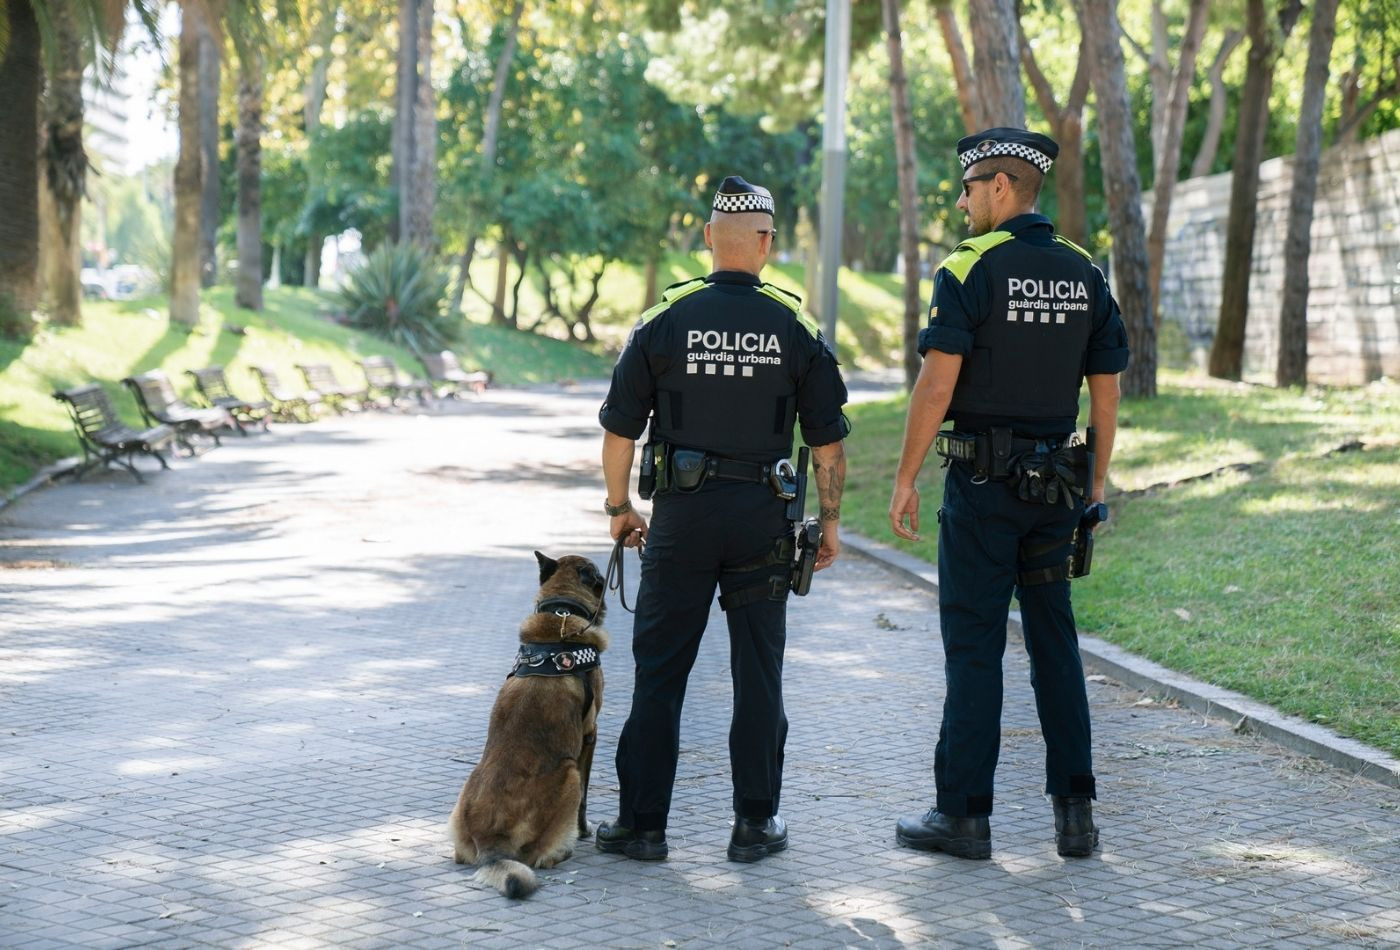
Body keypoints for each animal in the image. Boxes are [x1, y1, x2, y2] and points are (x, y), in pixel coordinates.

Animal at [445, 551, 604, 901]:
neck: (562, 612)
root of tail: (491, 845)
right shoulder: (591, 735)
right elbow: (586, 800)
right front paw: (584, 830)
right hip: (569, 773)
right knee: (540, 856)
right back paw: (563, 850)